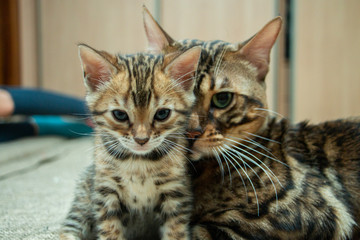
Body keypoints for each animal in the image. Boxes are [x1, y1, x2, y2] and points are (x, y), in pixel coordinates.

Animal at [58, 43, 200, 240]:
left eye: (162, 114)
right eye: (120, 115)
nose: (141, 139)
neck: (139, 163)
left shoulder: (175, 191)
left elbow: (175, 230)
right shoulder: (106, 189)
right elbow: (109, 228)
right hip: (84, 197)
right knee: (70, 226)